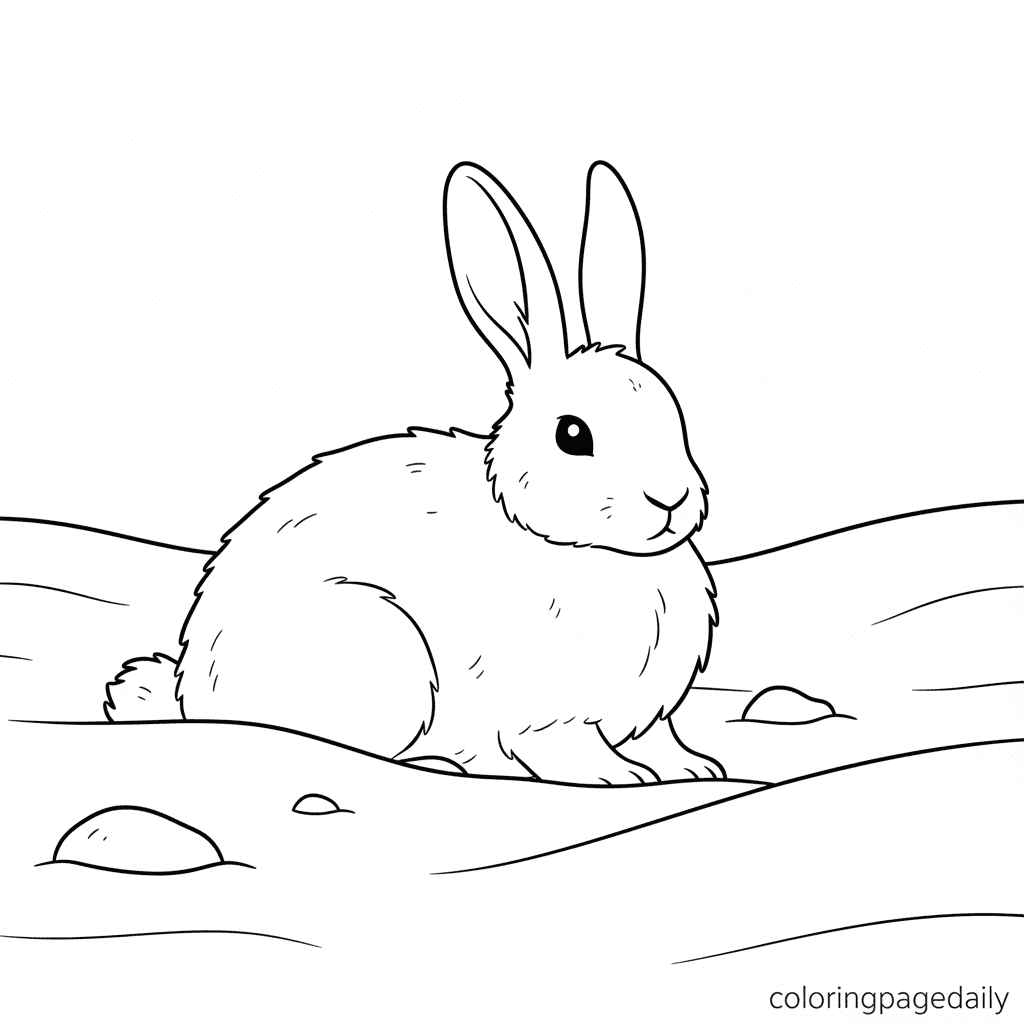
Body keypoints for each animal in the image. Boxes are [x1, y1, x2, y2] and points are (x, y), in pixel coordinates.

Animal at [107, 161, 723, 785]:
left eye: (673, 414)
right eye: (573, 435)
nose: (671, 501)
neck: (584, 553)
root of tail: (192, 697)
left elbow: (664, 739)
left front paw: (697, 768)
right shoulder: (547, 716)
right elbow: (567, 749)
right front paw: (619, 776)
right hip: (379, 653)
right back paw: (439, 762)